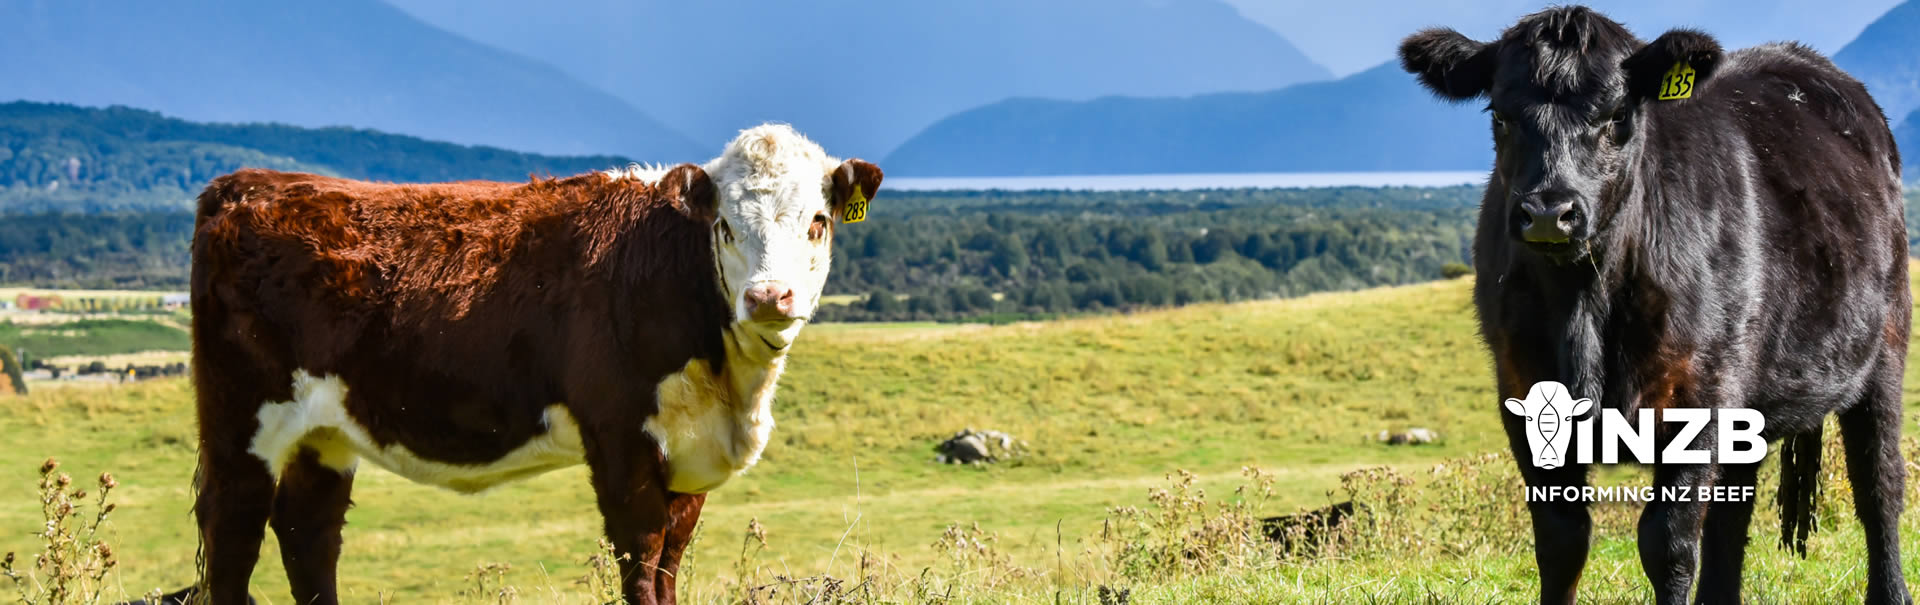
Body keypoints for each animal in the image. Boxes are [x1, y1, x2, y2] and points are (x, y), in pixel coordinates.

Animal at [187, 124, 879, 605]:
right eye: (728, 227)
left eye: (819, 223)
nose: (769, 297)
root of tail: (249, 184)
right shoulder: (619, 436)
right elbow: (642, 561)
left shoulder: (688, 452)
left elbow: (671, 563)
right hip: (240, 420)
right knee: (232, 533)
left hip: (324, 432)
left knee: (309, 532)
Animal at [1397, 5, 1904, 605]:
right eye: (1499, 115)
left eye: (1618, 113)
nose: (1548, 213)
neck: (1584, 307)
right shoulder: (1519, 387)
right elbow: (1561, 539)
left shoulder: (1701, 393)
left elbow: (1668, 543)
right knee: (1734, 511)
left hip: (1884, 352)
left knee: (1879, 486)